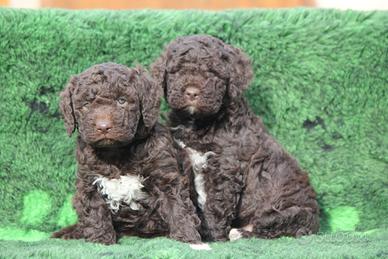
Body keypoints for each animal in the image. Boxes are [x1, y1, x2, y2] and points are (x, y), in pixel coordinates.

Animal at [52, 63, 203, 246]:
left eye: (121, 100)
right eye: (87, 104)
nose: (103, 127)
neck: (116, 153)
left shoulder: (165, 175)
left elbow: (177, 206)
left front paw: (188, 238)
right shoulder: (88, 180)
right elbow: (95, 212)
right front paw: (101, 241)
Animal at [151, 34, 318, 242]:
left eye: (213, 72)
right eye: (177, 71)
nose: (191, 92)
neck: (198, 123)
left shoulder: (226, 166)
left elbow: (217, 204)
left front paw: (212, 235)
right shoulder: (183, 158)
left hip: (294, 213)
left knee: (271, 226)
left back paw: (239, 232)